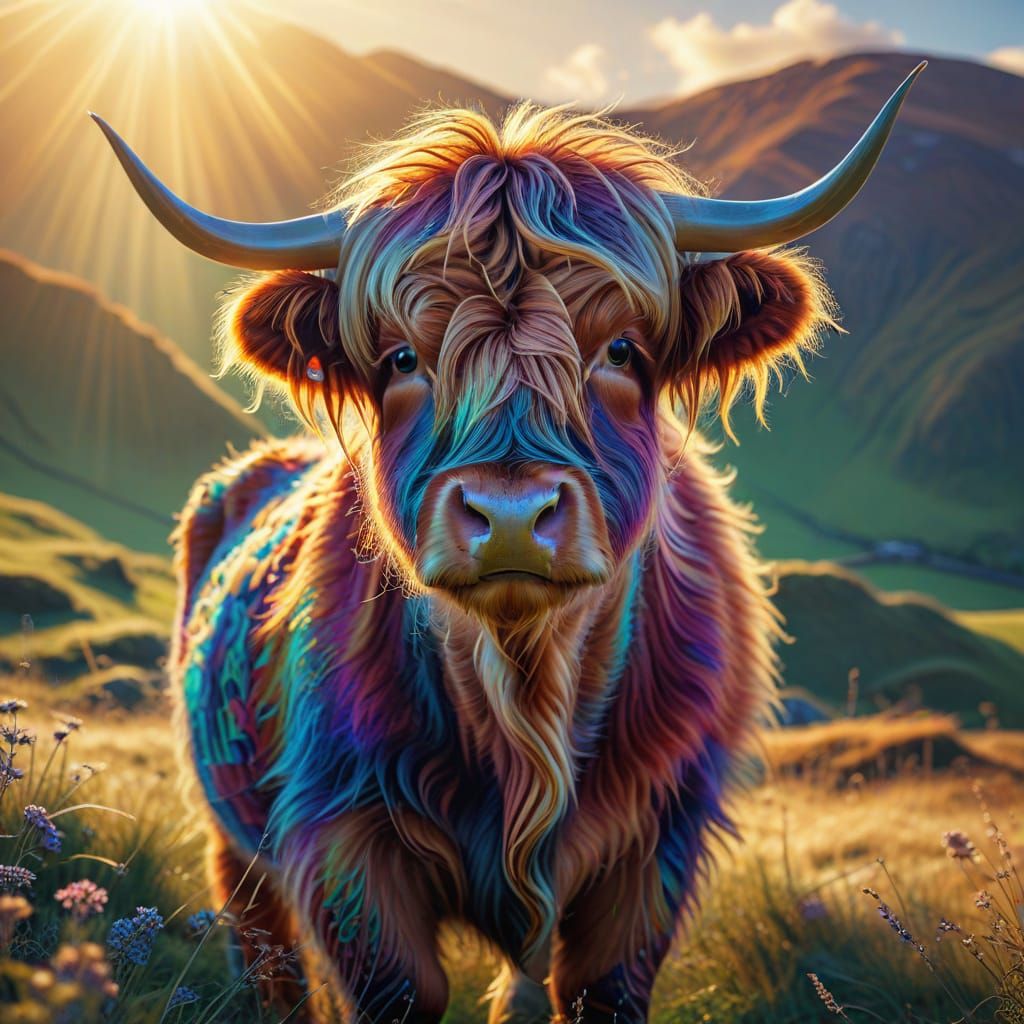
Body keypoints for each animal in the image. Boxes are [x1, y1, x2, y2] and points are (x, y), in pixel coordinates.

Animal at [94, 62, 923, 1023]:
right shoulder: (343, 839)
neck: (525, 692)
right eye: (402, 361)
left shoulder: (657, 844)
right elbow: (399, 988)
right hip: (232, 828)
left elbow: (598, 986)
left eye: (623, 350)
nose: (514, 515)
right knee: (262, 946)